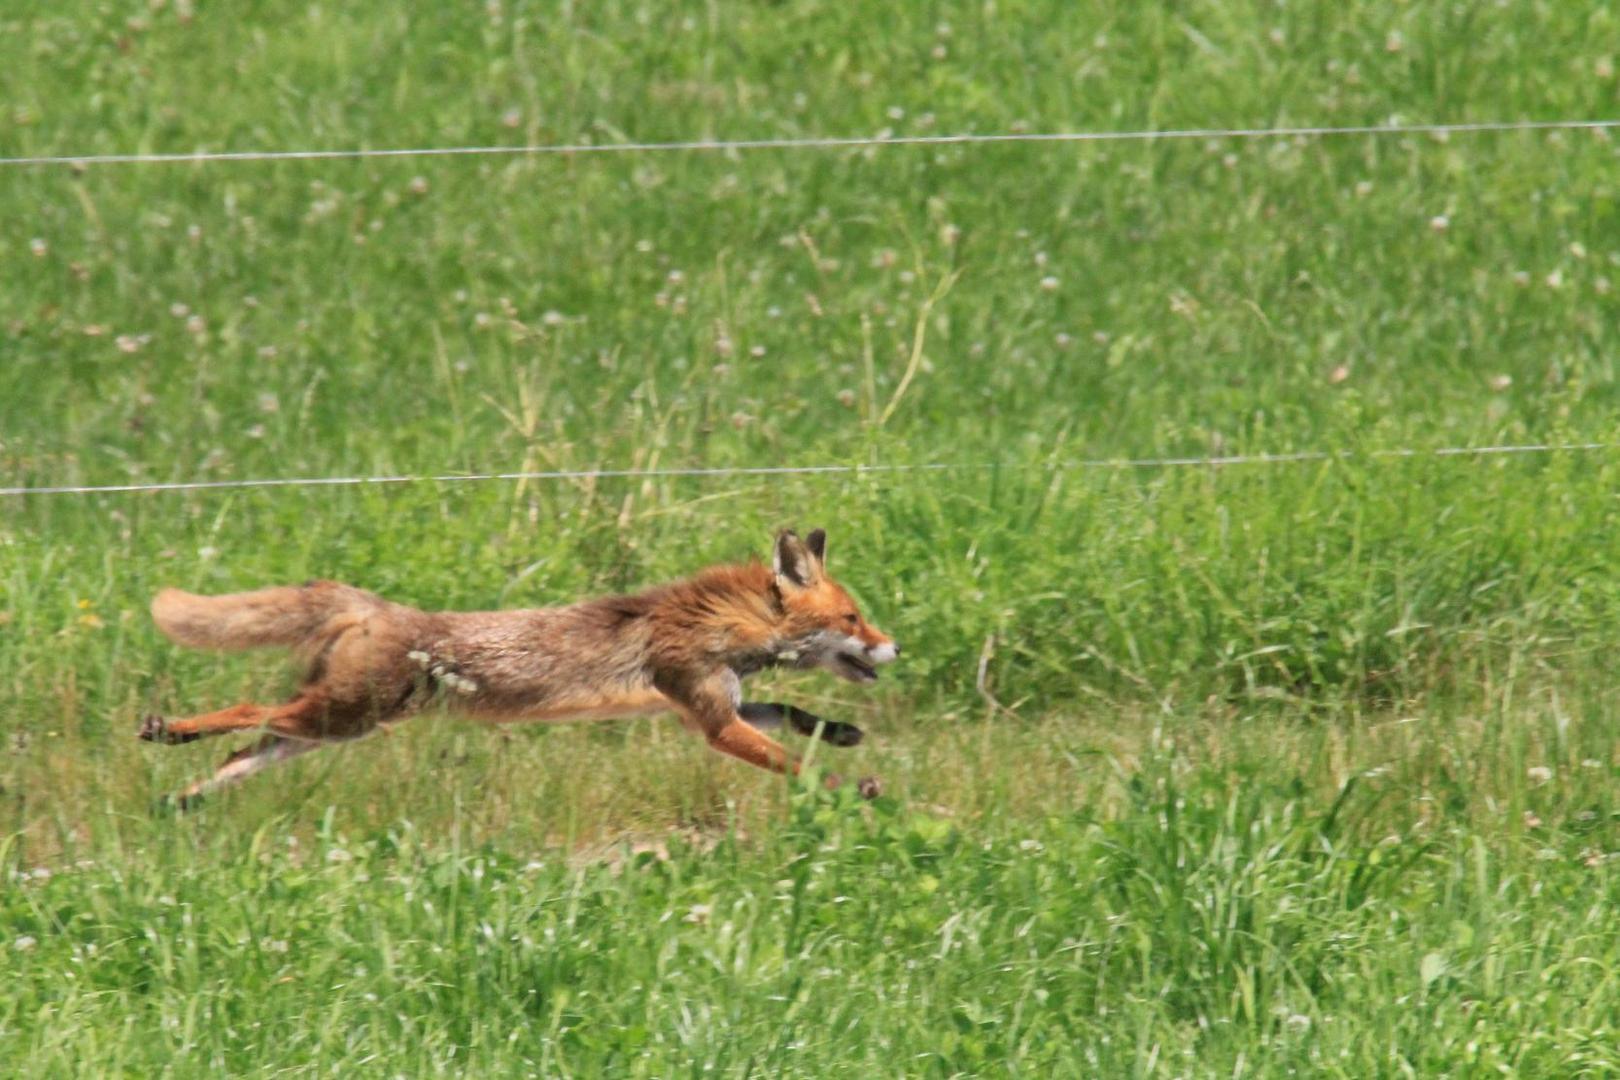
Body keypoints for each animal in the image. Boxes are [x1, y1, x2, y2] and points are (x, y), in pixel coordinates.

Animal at [139, 527, 900, 806]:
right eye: (854, 618)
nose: (896, 648)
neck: (717, 624)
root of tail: (374, 606)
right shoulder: (711, 719)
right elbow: (794, 765)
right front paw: (850, 788)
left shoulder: (707, 708)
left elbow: (792, 715)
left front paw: (840, 734)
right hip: (340, 716)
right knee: (242, 716)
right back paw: (166, 731)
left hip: (328, 728)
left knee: (240, 755)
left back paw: (180, 800)